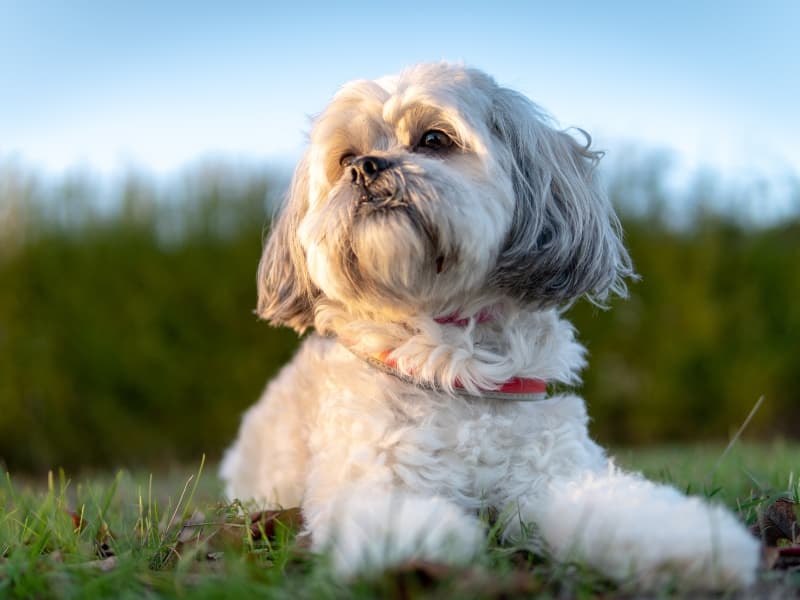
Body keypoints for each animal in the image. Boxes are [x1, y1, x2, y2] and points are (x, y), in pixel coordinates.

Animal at [222, 63, 760, 588]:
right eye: (345, 157)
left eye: (434, 139)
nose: (365, 167)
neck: (454, 360)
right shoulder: (374, 469)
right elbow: (393, 513)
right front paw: (415, 548)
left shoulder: (556, 474)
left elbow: (619, 508)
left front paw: (692, 544)